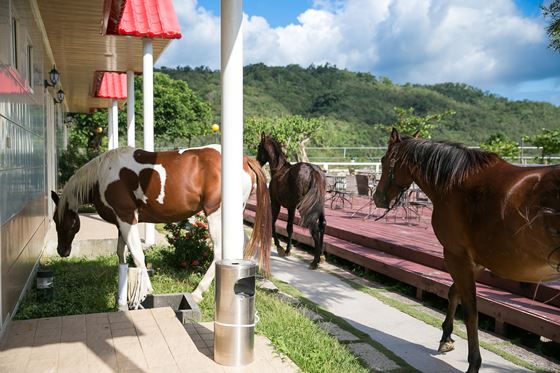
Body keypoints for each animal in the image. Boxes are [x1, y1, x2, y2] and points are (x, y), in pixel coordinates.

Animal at [50, 145, 274, 308]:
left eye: (60, 220)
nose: (62, 250)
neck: (102, 175)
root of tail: (245, 160)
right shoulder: (121, 221)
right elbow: (121, 252)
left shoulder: (126, 218)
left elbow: (137, 255)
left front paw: (147, 290)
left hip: (216, 215)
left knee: (219, 251)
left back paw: (198, 292)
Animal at [256, 134, 326, 268]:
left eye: (259, 147)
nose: (257, 162)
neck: (279, 169)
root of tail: (313, 170)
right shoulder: (291, 208)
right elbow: (290, 228)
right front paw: (287, 250)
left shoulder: (276, 204)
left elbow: (273, 223)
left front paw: (280, 247)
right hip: (319, 205)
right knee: (322, 224)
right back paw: (320, 256)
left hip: (304, 208)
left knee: (314, 228)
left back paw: (314, 261)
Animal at [372, 129, 560, 372]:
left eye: (383, 160)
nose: (377, 198)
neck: (455, 182)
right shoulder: (474, 260)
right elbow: (454, 293)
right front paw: (446, 338)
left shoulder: (455, 255)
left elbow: (470, 312)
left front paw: (473, 362)